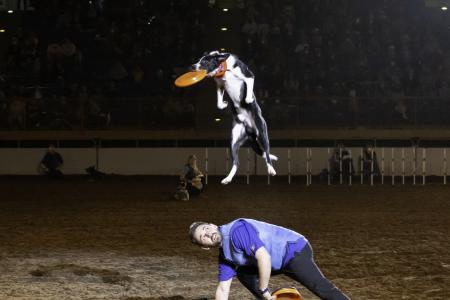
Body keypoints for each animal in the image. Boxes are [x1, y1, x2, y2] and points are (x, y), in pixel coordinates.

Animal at [191, 50, 276, 184]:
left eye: (204, 61)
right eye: (199, 60)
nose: (192, 66)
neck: (225, 69)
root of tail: (250, 129)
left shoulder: (249, 76)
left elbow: (248, 90)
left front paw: (248, 99)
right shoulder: (220, 85)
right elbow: (219, 103)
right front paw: (224, 104)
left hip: (262, 134)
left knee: (267, 153)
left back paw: (271, 169)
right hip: (233, 141)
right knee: (236, 162)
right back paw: (227, 179)